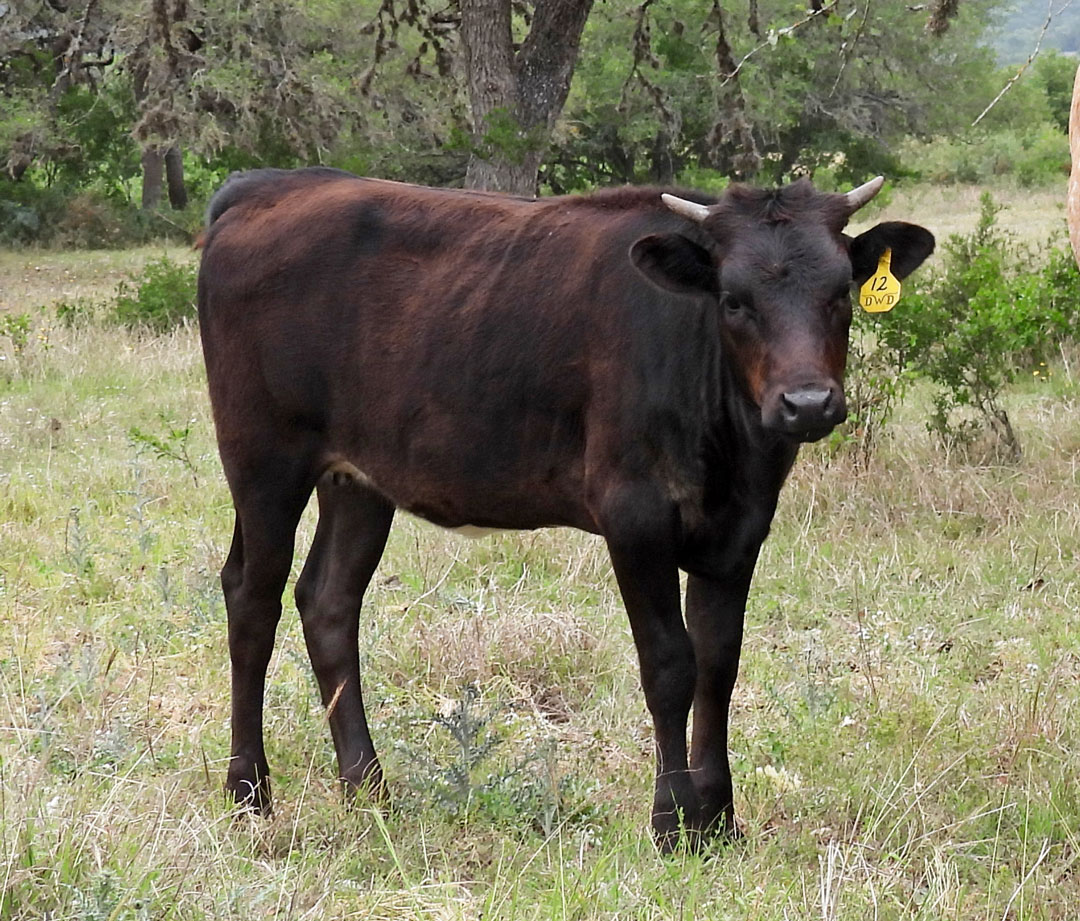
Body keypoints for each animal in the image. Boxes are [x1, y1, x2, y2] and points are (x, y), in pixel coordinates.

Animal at [198, 165, 933, 846]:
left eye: (839, 292)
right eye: (733, 299)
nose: (807, 402)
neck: (731, 448)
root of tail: (277, 183)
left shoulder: (739, 528)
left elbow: (719, 664)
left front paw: (720, 821)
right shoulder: (634, 514)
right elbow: (670, 665)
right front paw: (673, 821)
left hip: (359, 477)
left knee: (328, 600)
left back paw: (368, 787)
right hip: (263, 457)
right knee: (252, 598)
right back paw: (249, 790)